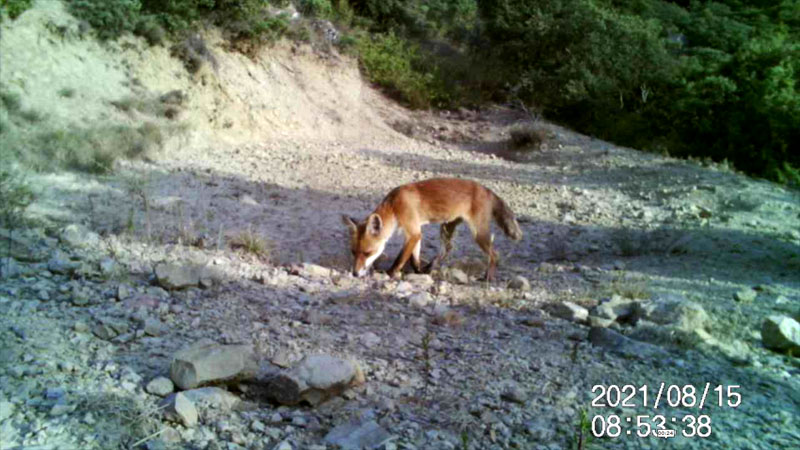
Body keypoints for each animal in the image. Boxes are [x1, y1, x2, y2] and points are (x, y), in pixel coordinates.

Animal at [340, 177, 520, 280]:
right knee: (447, 248)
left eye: (367, 253)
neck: (394, 206)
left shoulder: (413, 232)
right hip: (446, 228)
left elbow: (400, 259)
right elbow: (414, 258)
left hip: (478, 234)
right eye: (353, 252)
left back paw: (488, 277)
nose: (355, 273)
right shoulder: (415, 233)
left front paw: (390, 274)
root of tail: (487, 190)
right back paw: (431, 266)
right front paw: (418, 271)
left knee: (495, 255)